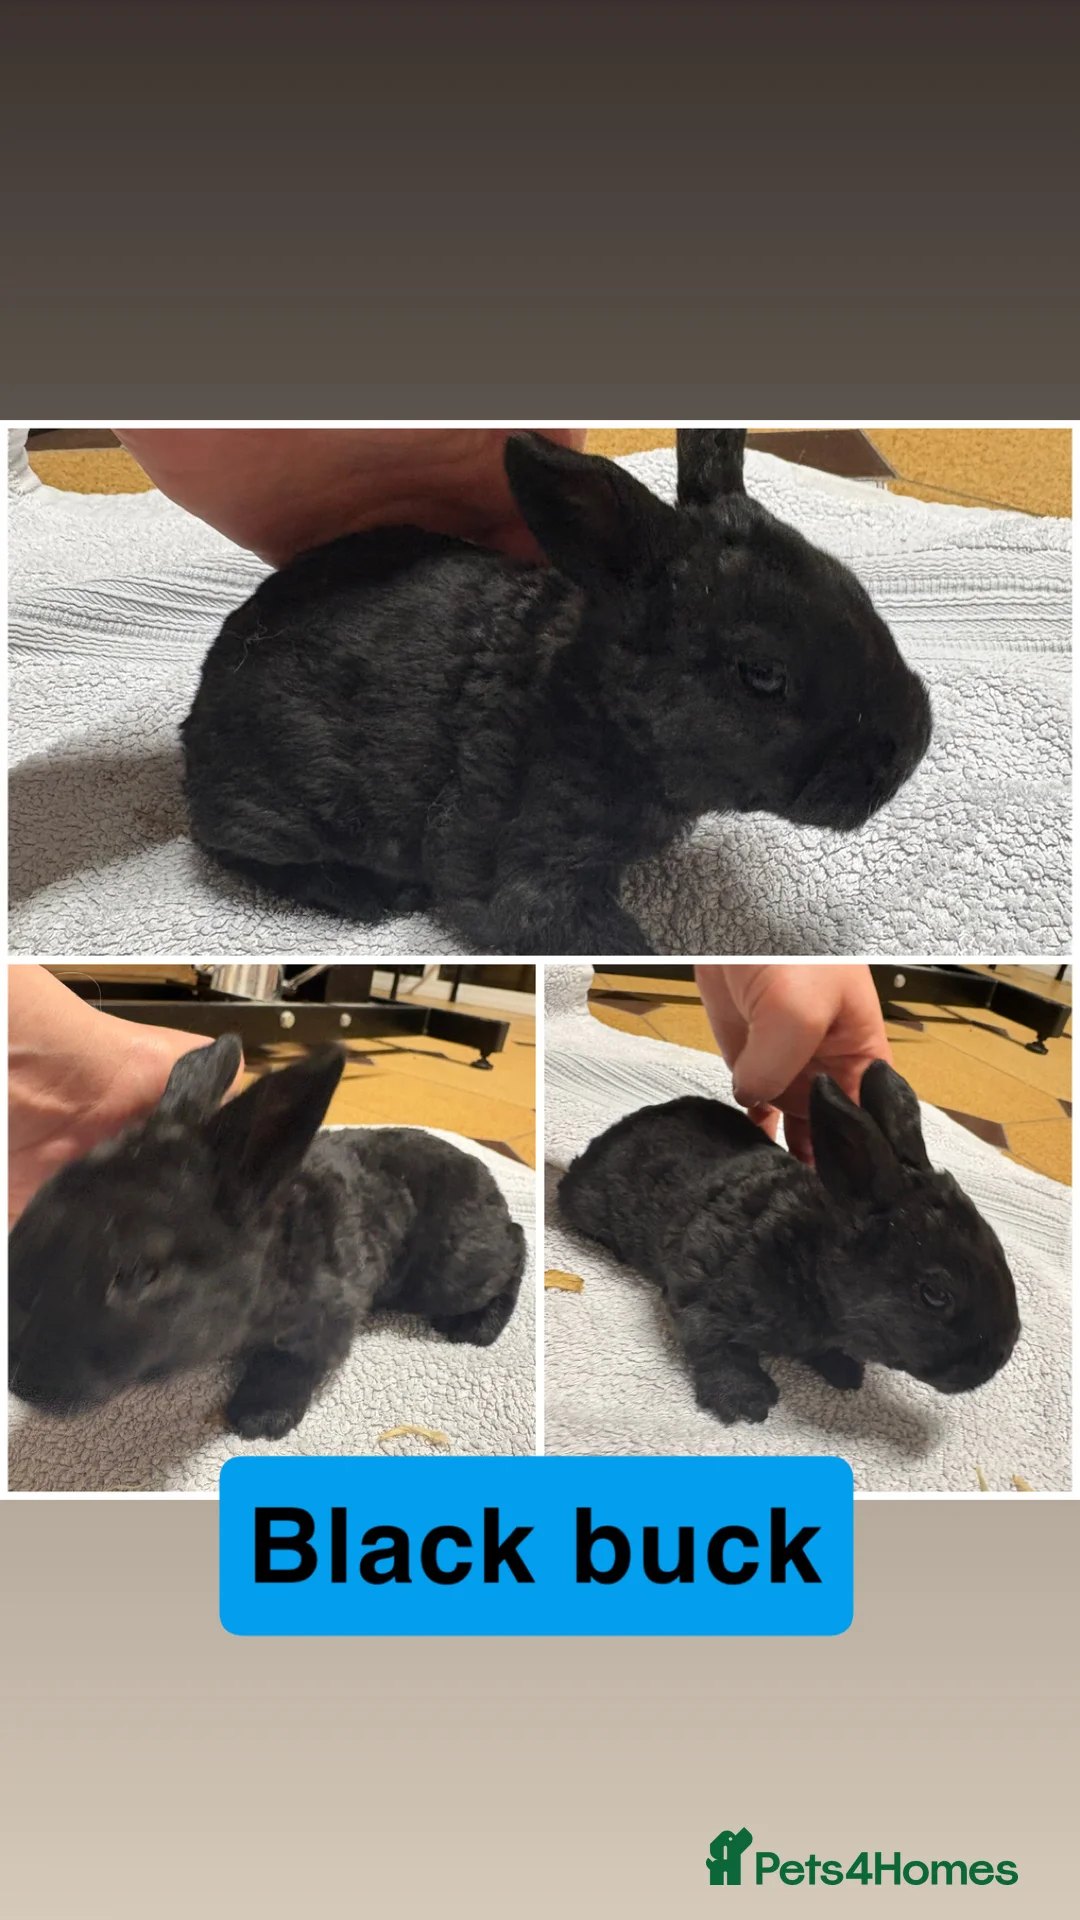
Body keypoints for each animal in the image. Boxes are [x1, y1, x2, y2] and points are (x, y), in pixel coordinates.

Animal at [8, 1035, 526, 1441]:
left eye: (139, 1273)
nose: (18, 1381)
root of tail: (484, 1175)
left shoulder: (327, 1319)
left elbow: (291, 1362)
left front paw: (259, 1418)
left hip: (451, 1274)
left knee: (516, 1248)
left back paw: (476, 1327)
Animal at [180, 430, 933, 956]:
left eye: (855, 589)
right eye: (762, 675)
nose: (914, 745)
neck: (602, 714)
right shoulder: (528, 877)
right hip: (277, 804)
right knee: (236, 852)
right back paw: (372, 893)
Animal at [557, 1060, 1020, 1425]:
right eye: (934, 1294)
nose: (994, 1363)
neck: (809, 1260)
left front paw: (846, 1372)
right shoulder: (700, 1295)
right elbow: (714, 1345)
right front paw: (745, 1400)